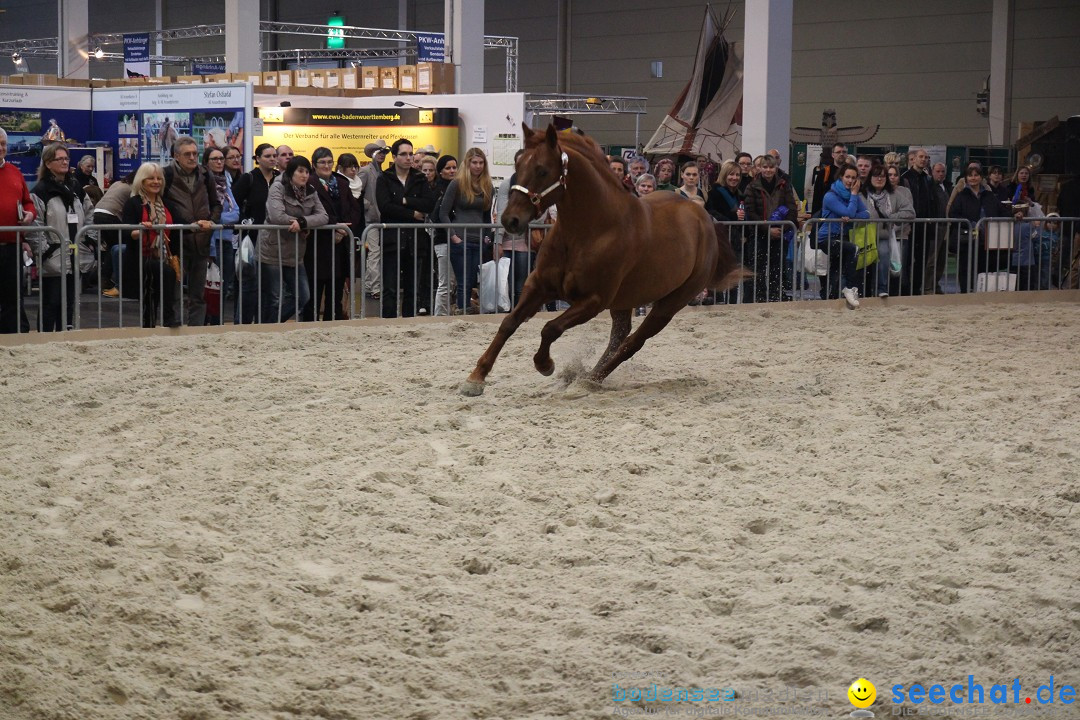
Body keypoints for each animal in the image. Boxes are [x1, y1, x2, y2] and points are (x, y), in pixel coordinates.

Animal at [460, 122, 747, 395]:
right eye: (518, 165)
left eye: (542, 170)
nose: (510, 220)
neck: (589, 230)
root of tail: (703, 217)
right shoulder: (538, 286)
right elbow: (509, 323)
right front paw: (475, 378)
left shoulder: (593, 301)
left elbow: (550, 328)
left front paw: (545, 364)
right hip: (625, 301)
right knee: (618, 338)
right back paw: (587, 377)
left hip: (669, 304)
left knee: (631, 343)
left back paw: (589, 381)